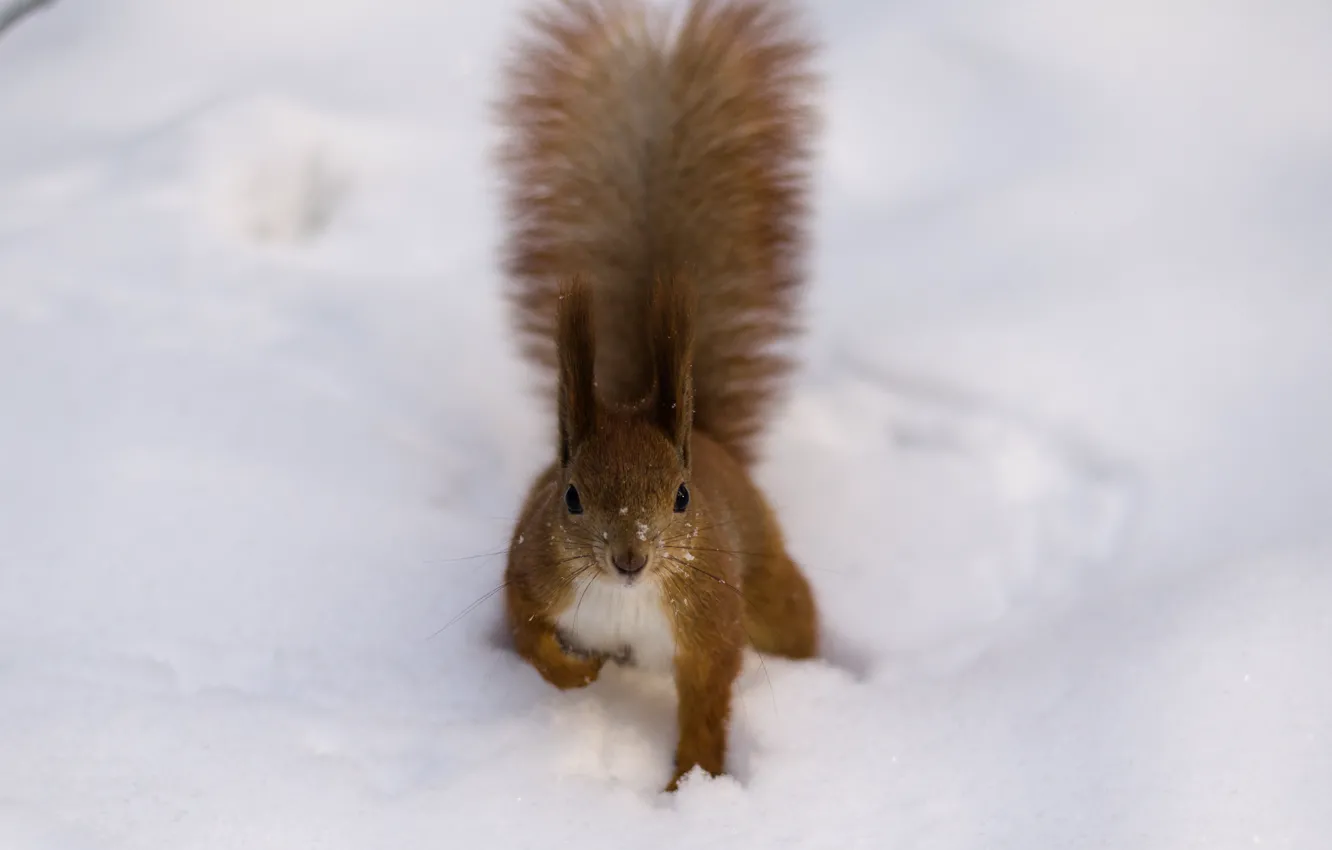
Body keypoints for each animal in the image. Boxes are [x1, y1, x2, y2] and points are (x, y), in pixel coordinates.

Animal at [492, 0, 815, 794]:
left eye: (681, 497)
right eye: (571, 496)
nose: (630, 557)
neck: (626, 600)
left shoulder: (710, 619)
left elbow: (708, 699)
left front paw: (690, 784)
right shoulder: (528, 572)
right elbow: (529, 636)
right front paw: (576, 679)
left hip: (769, 585)